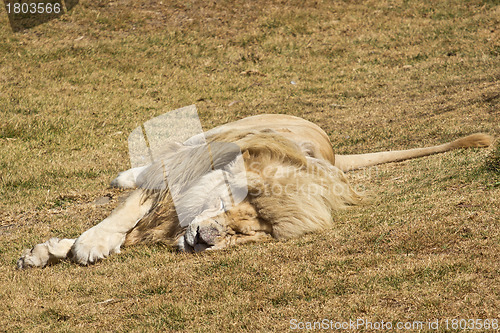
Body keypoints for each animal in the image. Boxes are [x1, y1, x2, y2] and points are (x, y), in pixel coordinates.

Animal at [16, 114, 492, 268]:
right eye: (233, 203)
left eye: (253, 233)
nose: (206, 239)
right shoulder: (178, 173)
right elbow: (123, 215)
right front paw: (85, 244)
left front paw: (51, 251)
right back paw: (124, 175)